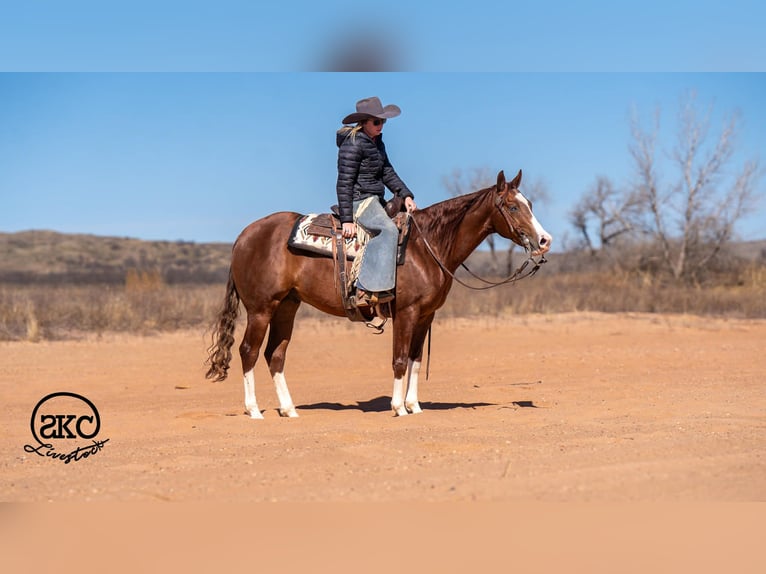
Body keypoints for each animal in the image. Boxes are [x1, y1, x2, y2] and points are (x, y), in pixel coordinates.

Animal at [205, 169, 552, 418]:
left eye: (530, 205)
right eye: (512, 206)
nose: (544, 240)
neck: (426, 246)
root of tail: (244, 236)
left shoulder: (426, 315)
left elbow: (414, 360)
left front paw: (414, 406)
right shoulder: (406, 312)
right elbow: (399, 359)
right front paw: (398, 408)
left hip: (287, 306)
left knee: (274, 354)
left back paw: (289, 410)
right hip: (260, 309)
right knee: (248, 351)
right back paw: (253, 410)